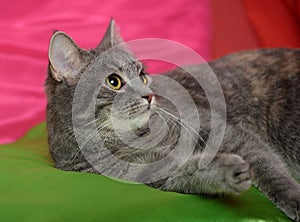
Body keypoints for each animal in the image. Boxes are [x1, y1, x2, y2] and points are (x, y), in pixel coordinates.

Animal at [45, 20, 300, 221]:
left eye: (143, 76)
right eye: (114, 82)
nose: (149, 95)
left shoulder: (224, 131)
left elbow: (267, 165)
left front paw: (294, 198)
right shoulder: (149, 171)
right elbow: (188, 173)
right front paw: (226, 171)